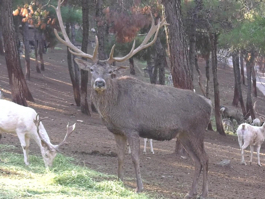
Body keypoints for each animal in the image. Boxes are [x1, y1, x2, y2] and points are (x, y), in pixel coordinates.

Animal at [52, 0, 211, 198]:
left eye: (110, 72)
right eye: (91, 70)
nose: (99, 83)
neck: (113, 108)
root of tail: (209, 104)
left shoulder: (132, 128)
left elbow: (135, 158)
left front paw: (139, 187)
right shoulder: (117, 131)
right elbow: (120, 156)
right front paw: (119, 182)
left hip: (196, 130)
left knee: (205, 159)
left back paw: (204, 193)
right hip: (184, 134)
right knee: (197, 161)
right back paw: (191, 193)